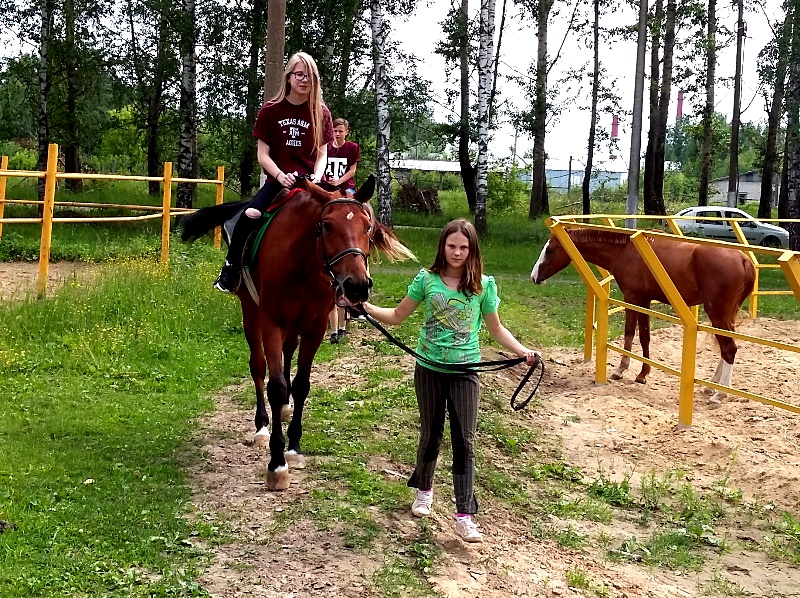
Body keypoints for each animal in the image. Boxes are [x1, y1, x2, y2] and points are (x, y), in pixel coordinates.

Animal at [180, 175, 415, 489]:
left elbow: (301, 384)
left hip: (293, 327)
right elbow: (275, 386)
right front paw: (277, 464)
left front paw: (293, 446)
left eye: (367, 226)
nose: (356, 286)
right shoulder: (270, 321)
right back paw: (262, 426)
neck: (303, 264)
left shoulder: (314, 327)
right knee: (258, 367)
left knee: (287, 356)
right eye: (326, 225)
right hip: (251, 313)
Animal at [530, 228, 756, 403]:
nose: (534, 277)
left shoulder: (632, 297)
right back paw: (712, 386)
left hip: (718, 313)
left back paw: (719, 394)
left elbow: (630, 333)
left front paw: (620, 370)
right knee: (726, 349)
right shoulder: (645, 301)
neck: (626, 251)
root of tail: (744, 259)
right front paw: (643, 374)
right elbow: (645, 336)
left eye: (549, 250)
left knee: (729, 350)